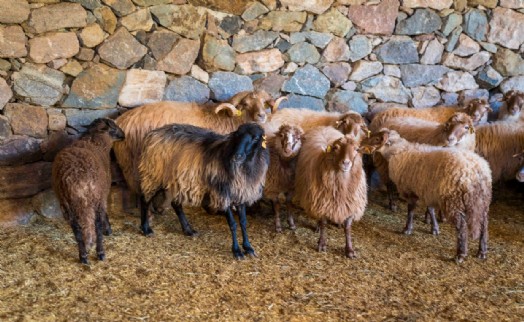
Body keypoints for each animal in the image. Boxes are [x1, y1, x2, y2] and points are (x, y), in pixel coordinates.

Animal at [51, 118, 126, 264]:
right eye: (114, 128)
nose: (124, 135)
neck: (96, 141)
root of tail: (74, 180)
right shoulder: (103, 193)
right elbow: (104, 214)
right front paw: (108, 229)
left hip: (66, 204)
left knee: (77, 230)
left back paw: (83, 256)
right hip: (94, 198)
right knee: (96, 226)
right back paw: (100, 253)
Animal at [294, 126, 368, 260]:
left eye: (356, 149)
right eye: (336, 148)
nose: (346, 163)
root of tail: (324, 127)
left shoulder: (351, 206)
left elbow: (348, 228)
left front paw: (349, 250)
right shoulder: (322, 202)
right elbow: (323, 223)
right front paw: (322, 244)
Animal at [360, 127, 492, 262]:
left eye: (377, 139)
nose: (361, 143)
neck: (399, 152)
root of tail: (477, 171)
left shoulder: (411, 190)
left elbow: (411, 210)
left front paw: (407, 229)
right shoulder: (428, 191)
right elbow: (431, 209)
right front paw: (435, 228)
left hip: (454, 200)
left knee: (462, 226)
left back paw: (461, 254)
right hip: (481, 201)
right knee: (484, 223)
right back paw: (482, 251)